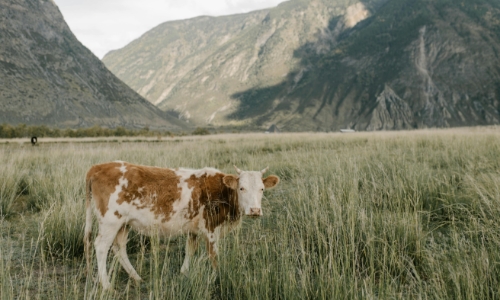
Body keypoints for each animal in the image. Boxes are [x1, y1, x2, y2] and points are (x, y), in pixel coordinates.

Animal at [84, 161, 280, 290]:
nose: (255, 210)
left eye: (262, 189)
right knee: (101, 246)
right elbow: (213, 255)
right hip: (110, 221)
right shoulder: (210, 229)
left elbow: (190, 250)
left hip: (124, 224)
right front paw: (217, 277)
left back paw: (136, 278)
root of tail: (98, 166)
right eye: (242, 188)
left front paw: (184, 272)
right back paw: (106, 285)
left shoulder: (193, 229)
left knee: (119, 248)